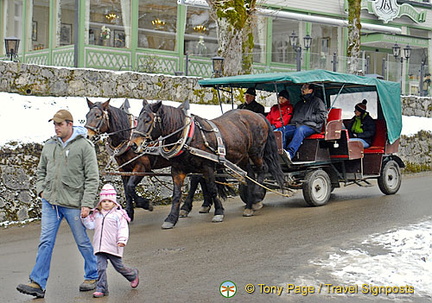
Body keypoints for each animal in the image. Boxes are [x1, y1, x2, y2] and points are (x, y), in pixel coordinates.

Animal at [133, 101, 286, 229]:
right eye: (137, 119)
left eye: (148, 120)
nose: (134, 144)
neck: (187, 137)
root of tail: (258, 115)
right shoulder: (177, 169)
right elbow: (177, 194)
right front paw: (171, 218)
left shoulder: (208, 167)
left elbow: (212, 189)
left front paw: (218, 212)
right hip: (242, 157)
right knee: (249, 175)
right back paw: (249, 204)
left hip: (256, 152)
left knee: (263, 169)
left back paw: (256, 196)